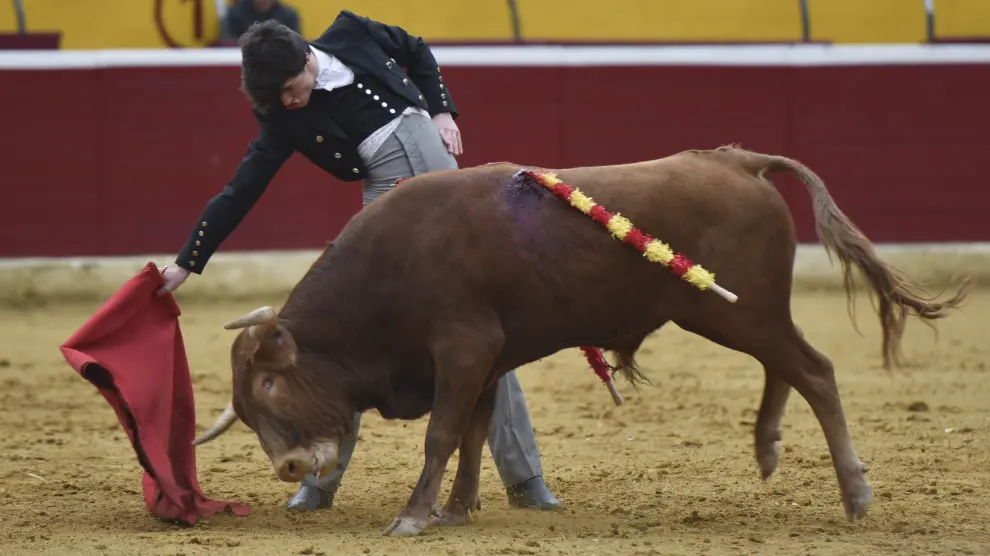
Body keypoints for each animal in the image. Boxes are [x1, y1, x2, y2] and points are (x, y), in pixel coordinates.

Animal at [192, 146, 968, 536]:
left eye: (269, 382)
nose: (291, 468)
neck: (388, 271)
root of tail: (735, 161)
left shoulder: (462, 349)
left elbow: (443, 432)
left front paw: (413, 517)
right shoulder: (486, 358)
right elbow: (473, 432)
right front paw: (454, 510)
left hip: (737, 313)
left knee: (816, 370)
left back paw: (856, 495)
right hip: (744, 314)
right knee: (789, 369)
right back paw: (769, 448)